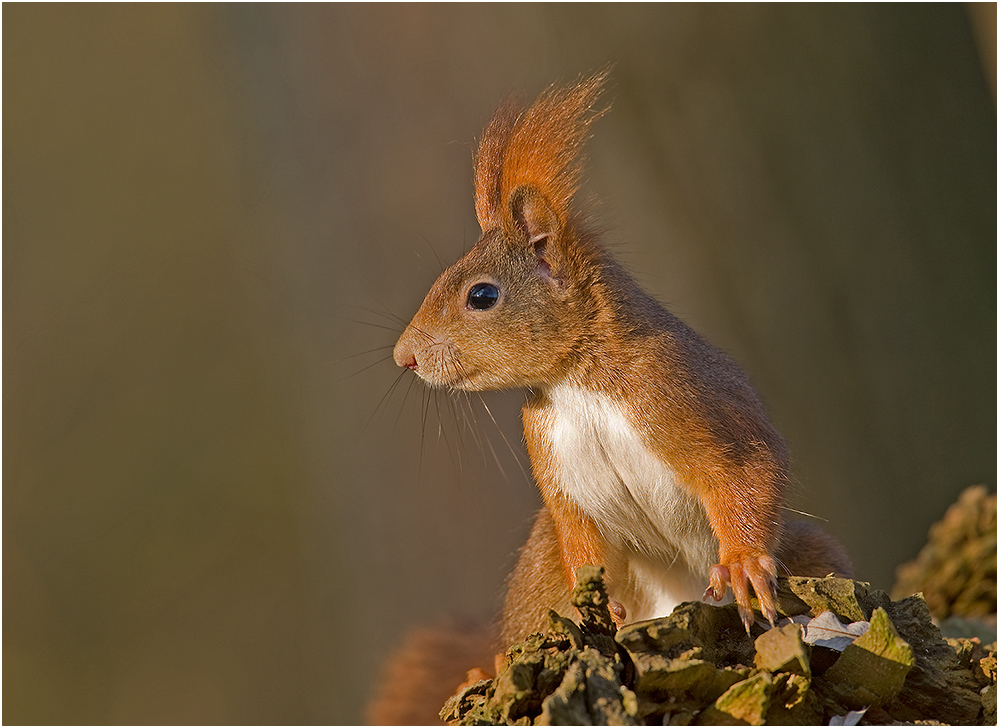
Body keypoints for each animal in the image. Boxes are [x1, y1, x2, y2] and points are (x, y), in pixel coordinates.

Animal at [386, 69, 856, 700]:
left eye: (481, 295)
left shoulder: (680, 392)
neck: (574, 383)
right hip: (538, 573)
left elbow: (749, 468)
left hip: (810, 554)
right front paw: (597, 606)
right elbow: (579, 537)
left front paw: (740, 562)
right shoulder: (557, 469)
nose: (403, 356)